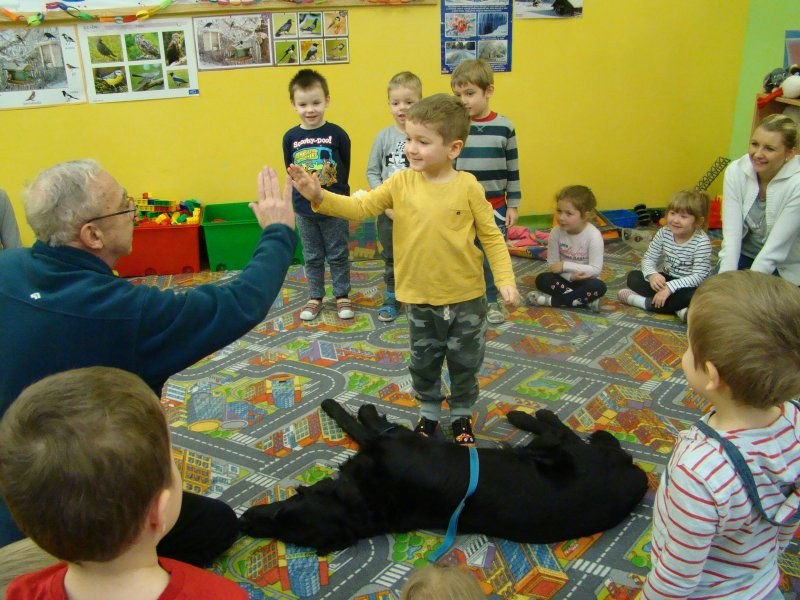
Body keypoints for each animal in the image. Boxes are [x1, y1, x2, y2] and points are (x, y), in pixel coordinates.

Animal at [239, 399, 648, 554]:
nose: (243, 520)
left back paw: (525, 414)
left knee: (561, 431)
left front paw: (342, 406)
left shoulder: (389, 442)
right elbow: (363, 427)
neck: (366, 501)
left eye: (291, 499)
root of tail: (637, 475)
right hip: (551, 452)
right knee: (558, 432)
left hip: (565, 453)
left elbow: (360, 424)